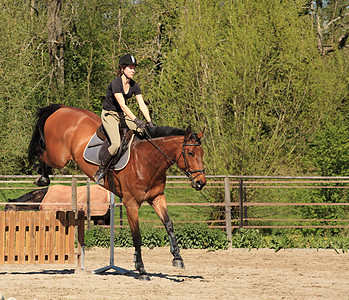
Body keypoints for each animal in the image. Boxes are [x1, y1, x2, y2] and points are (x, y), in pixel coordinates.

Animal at [28, 104, 205, 280]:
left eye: (202, 154)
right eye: (190, 153)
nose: (200, 183)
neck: (147, 160)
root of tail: (63, 108)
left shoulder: (157, 197)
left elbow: (169, 224)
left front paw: (178, 258)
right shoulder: (131, 204)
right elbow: (137, 236)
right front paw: (141, 270)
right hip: (58, 157)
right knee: (39, 151)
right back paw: (41, 177)